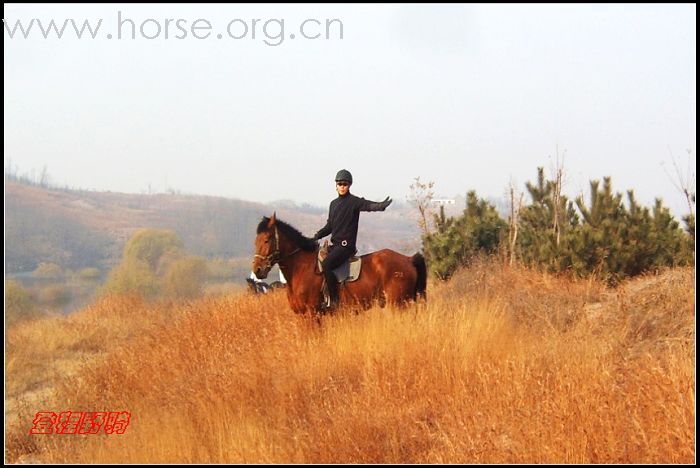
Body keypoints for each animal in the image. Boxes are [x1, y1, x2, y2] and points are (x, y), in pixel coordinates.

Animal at [253, 214, 426, 312]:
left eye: (267, 240)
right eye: (256, 241)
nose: (257, 270)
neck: (300, 267)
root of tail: (408, 259)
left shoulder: (312, 313)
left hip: (397, 304)